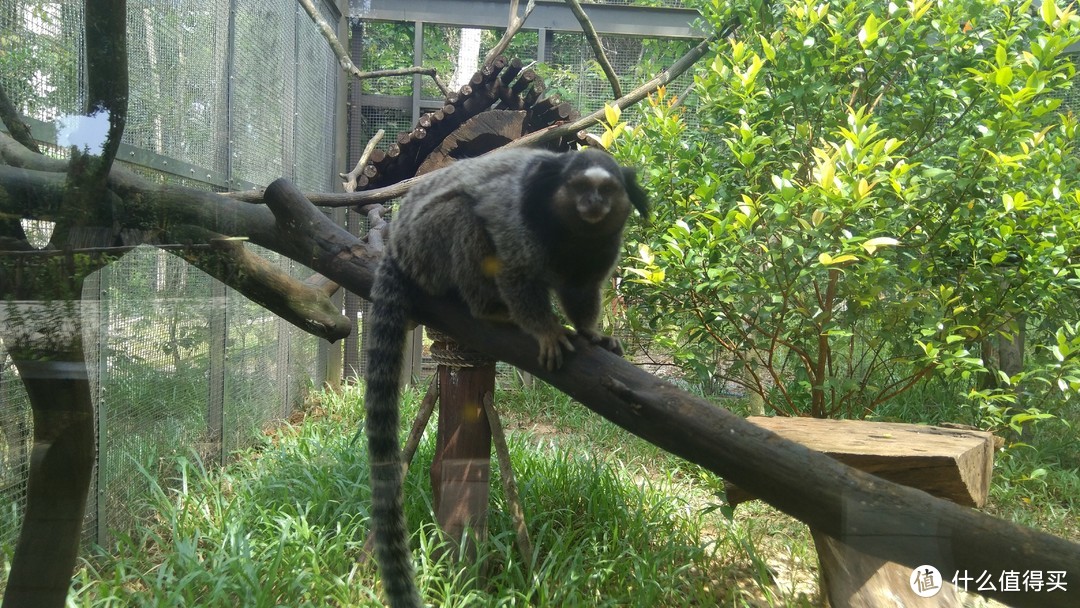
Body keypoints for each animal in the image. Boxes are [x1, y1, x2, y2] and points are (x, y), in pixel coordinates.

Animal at [362, 147, 648, 608]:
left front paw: (591, 333)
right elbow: (516, 272)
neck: (572, 232)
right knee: (464, 216)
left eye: (606, 190)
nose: (593, 204)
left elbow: (582, 291)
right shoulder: (519, 224)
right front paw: (545, 329)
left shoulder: (601, 248)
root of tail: (397, 246)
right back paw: (490, 309)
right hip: (427, 246)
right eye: (579, 188)